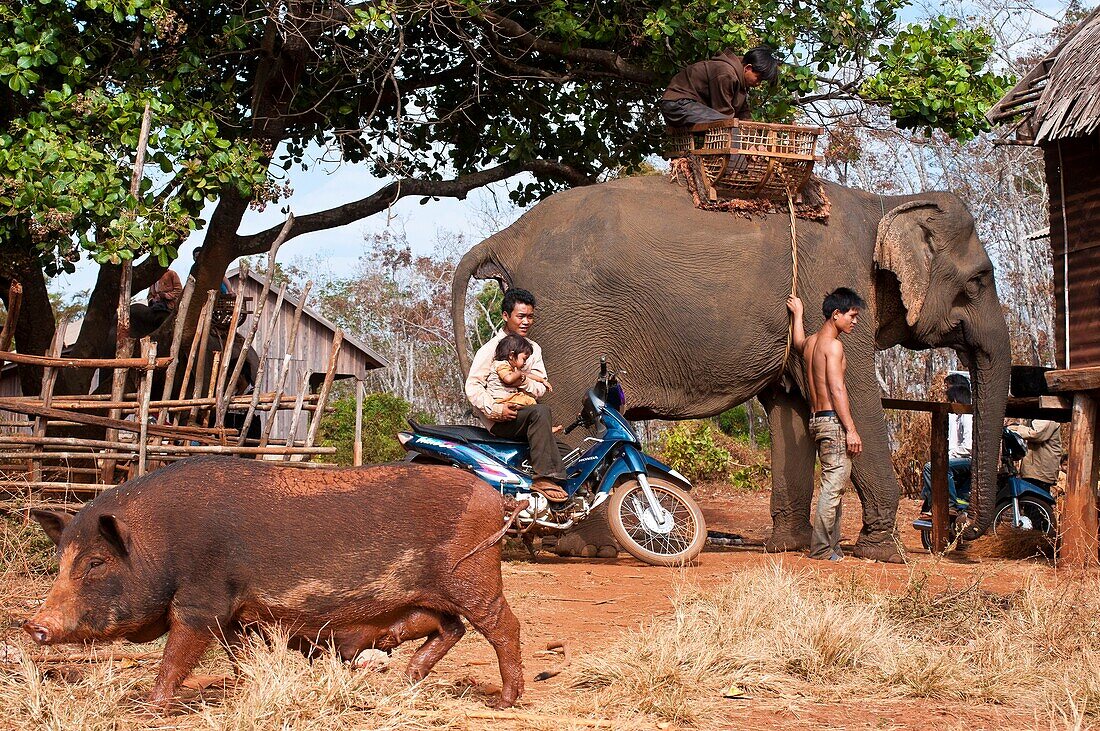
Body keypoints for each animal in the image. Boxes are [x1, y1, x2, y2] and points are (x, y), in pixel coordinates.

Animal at [24, 457, 523, 707]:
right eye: (61, 560)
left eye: (95, 563)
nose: (32, 624)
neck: (157, 541)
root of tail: (494, 498)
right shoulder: (233, 614)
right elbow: (239, 654)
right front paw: (248, 684)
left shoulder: (202, 600)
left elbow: (178, 651)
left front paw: (152, 705)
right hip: (433, 598)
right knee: (451, 628)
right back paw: (407, 680)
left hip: (474, 577)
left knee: (504, 627)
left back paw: (505, 702)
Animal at [451, 173, 1007, 560]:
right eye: (979, 281)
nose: (960, 539)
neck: (885, 204)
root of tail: (508, 236)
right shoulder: (833, 288)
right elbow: (856, 394)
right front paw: (885, 555)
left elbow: (790, 406)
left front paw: (788, 548)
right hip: (567, 326)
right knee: (570, 414)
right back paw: (588, 547)